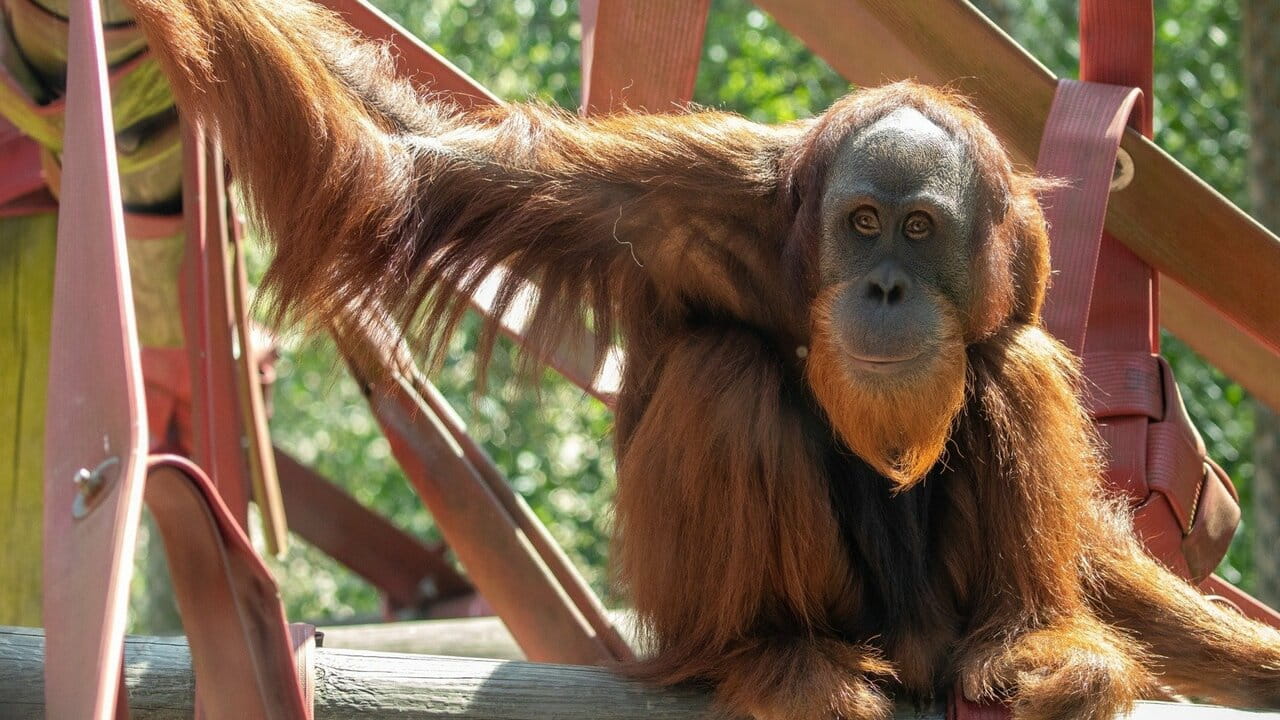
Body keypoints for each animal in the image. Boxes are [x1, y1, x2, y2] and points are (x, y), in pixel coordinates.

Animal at [117, 0, 1280, 718]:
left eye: (917, 230)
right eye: (861, 223)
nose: (886, 288)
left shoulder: (1023, 260)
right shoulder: (667, 192)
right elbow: (408, 173)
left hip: (937, 616)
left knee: (1015, 364)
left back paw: (1034, 646)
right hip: (702, 615)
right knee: (726, 373)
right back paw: (771, 658)